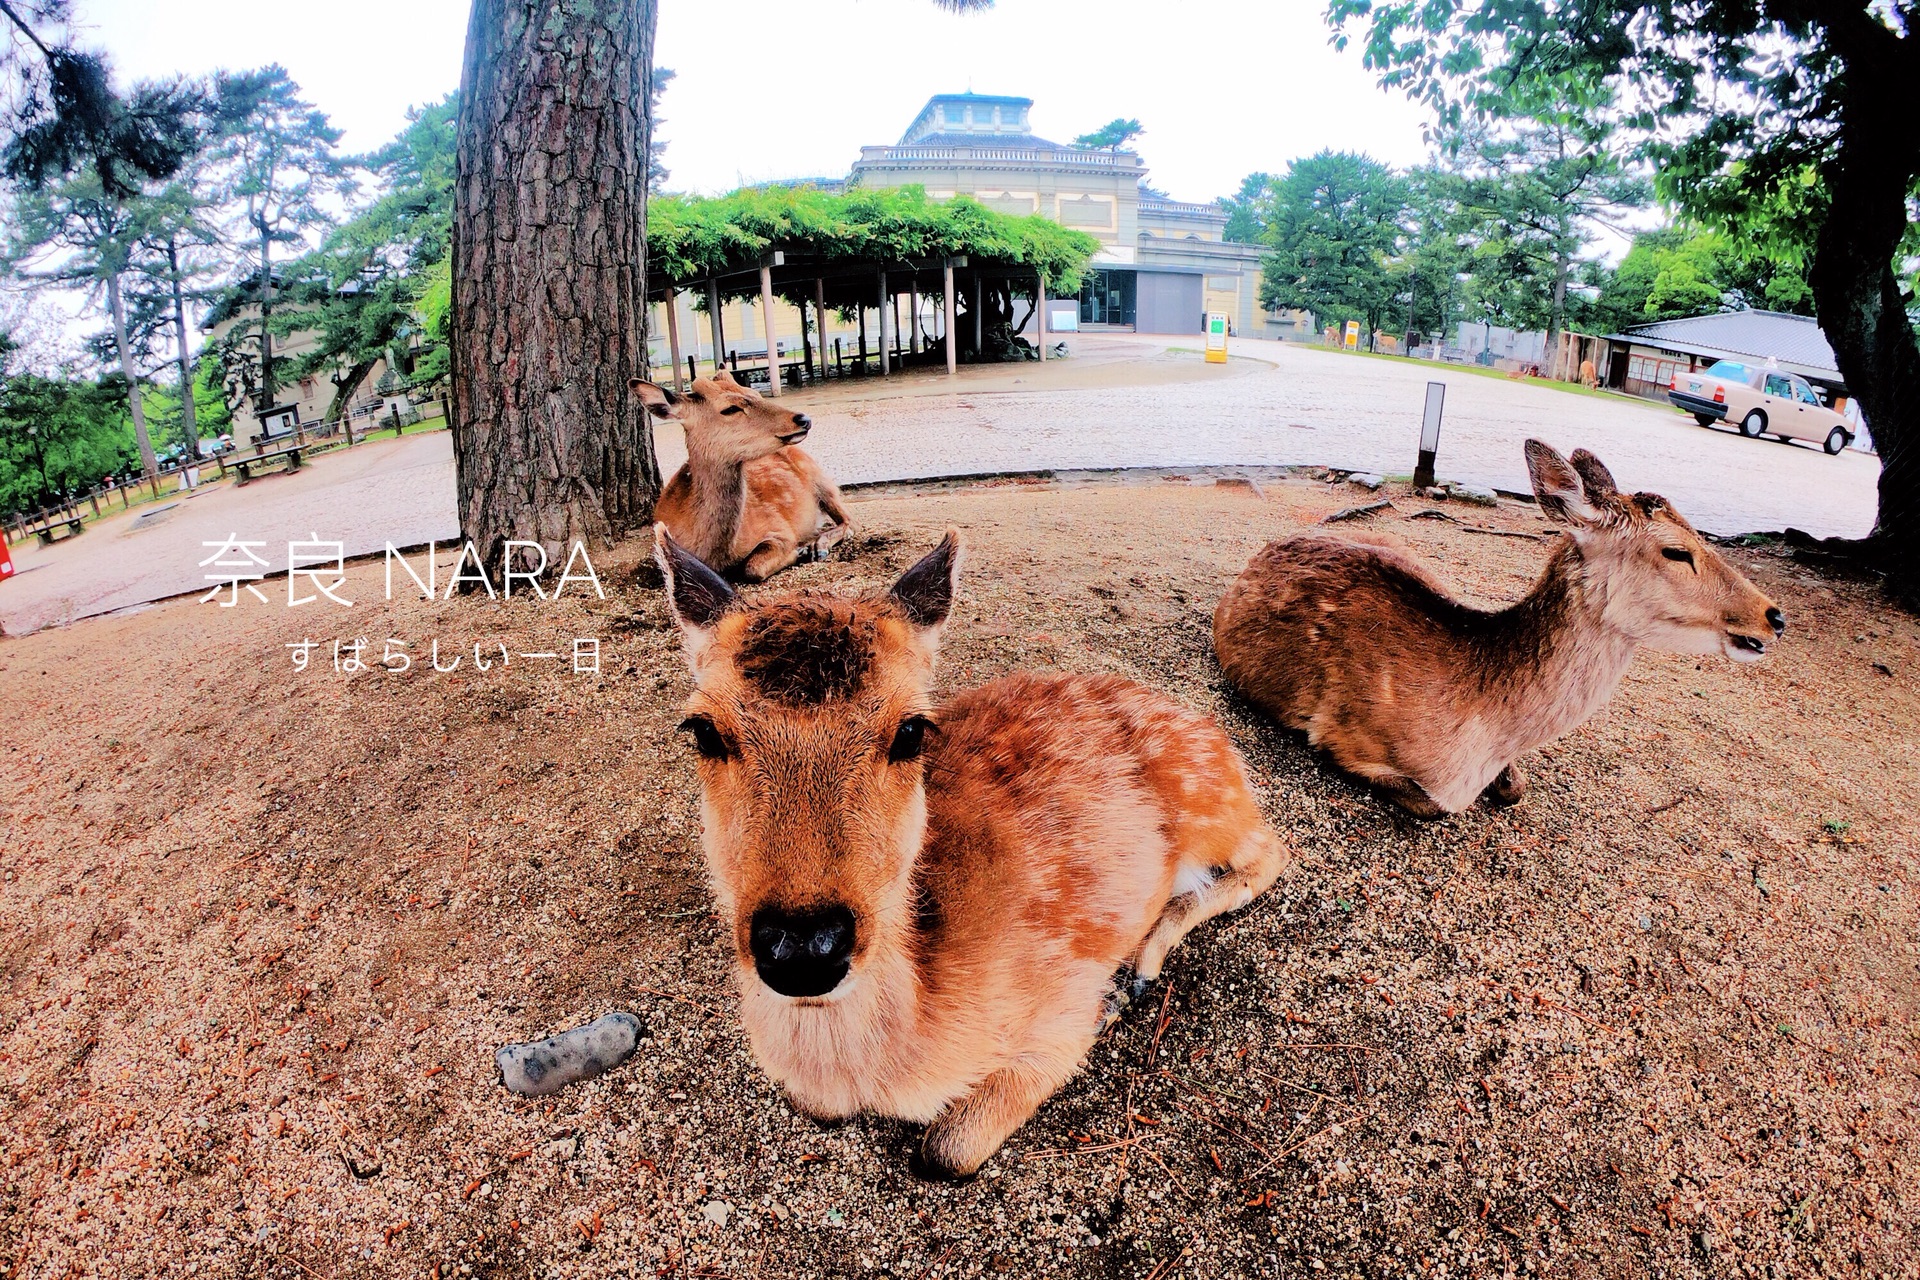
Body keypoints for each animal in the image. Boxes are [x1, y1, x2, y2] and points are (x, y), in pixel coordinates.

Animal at [637, 370, 848, 587]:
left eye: (756, 394)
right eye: (730, 408)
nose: (803, 418)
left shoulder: (780, 528)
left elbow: (752, 567)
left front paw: (799, 550)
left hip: (821, 479)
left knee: (848, 521)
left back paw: (817, 545)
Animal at [656, 525, 1290, 1174]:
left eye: (911, 730)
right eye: (702, 730)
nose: (804, 947)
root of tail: (1200, 720)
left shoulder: (1063, 1002)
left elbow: (945, 1152)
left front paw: (1111, 1001)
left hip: (1209, 800)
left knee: (1274, 849)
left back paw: (1141, 965)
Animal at [1213, 441, 1781, 821]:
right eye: (1676, 551)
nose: (1774, 616)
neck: (1481, 734)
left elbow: (1516, 786)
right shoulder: (1343, 734)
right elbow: (1433, 804)